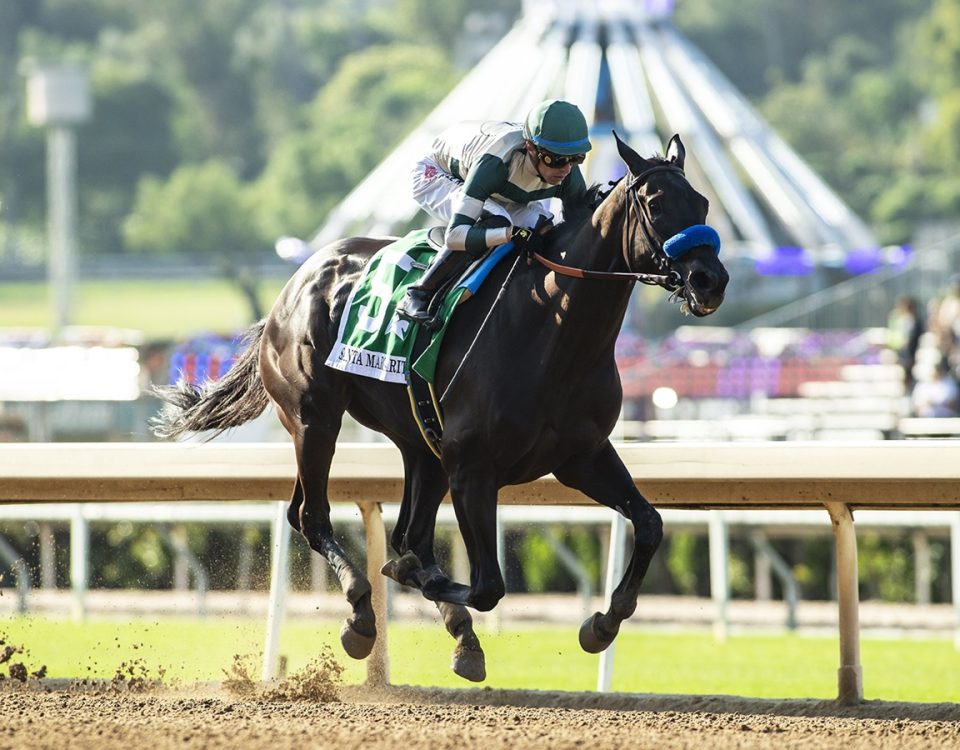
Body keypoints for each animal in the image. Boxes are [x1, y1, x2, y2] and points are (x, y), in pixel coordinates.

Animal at [154, 134, 728, 680]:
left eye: (702, 202)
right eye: (655, 203)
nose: (711, 281)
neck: (553, 330)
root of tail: (293, 285)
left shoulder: (580, 455)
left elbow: (650, 523)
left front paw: (602, 623)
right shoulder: (472, 469)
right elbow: (487, 586)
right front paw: (406, 578)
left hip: (419, 443)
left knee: (406, 530)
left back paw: (456, 632)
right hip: (314, 420)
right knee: (313, 516)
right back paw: (363, 615)